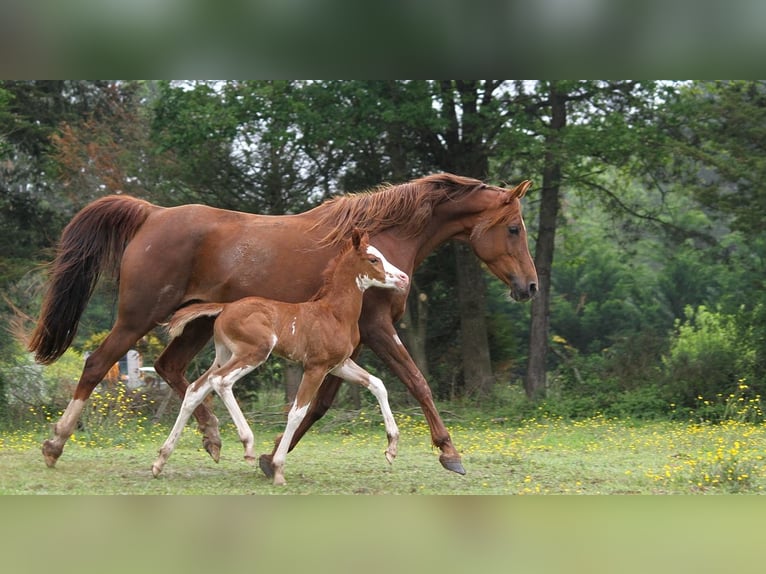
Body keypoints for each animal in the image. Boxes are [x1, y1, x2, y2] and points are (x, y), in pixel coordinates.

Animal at [152, 231, 412, 486]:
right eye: (373, 259)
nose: (403, 278)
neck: (335, 314)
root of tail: (225, 308)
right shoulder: (316, 367)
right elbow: (297, 412)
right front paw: (277, 468)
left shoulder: (339, 365)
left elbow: (378, 384)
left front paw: (392, 448)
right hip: (255, 351)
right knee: (221, 381)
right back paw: (248, 444)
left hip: (225, 354)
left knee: (195, 389)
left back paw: (161, 460)